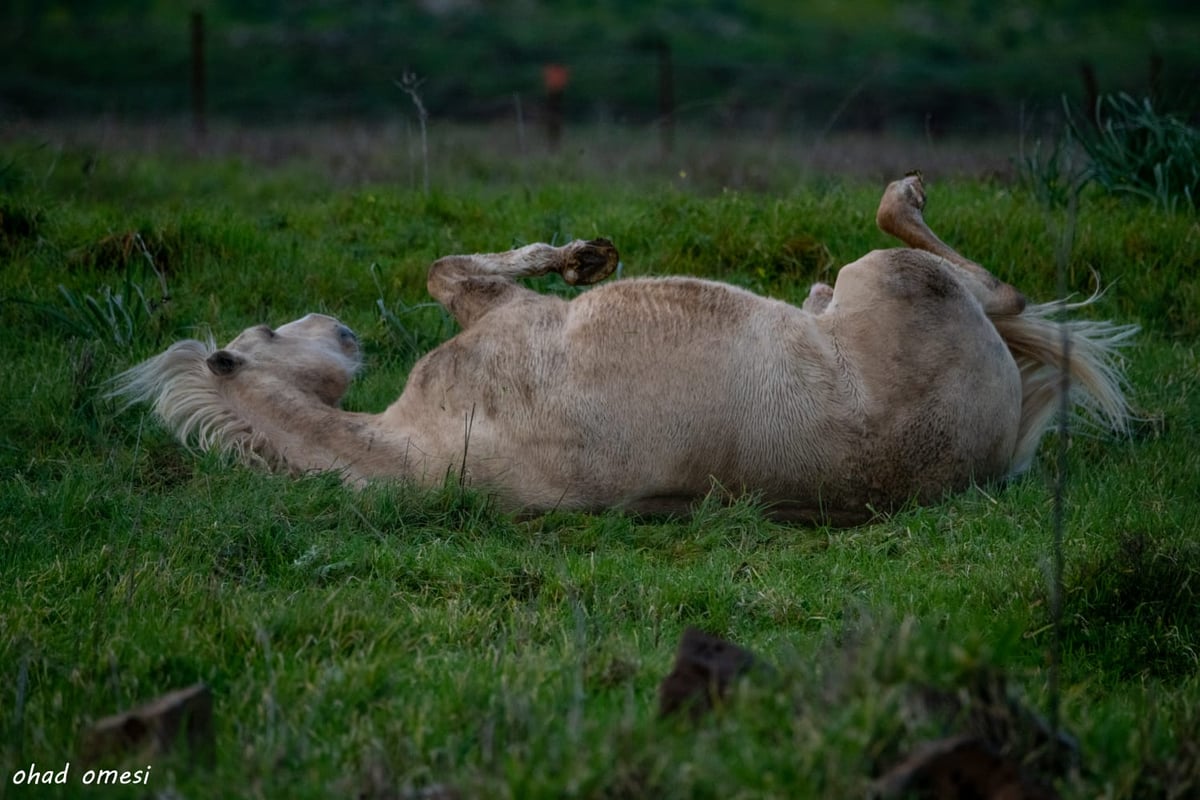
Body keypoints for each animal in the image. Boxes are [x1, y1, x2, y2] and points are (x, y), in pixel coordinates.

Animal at [112, 176, 1132, 525]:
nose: (338, 329)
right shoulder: (496, 312)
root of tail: (999, 446)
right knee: (994, 288)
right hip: (897, 276)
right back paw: (904, 198)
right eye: (266, 335)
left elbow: (446, 268)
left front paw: (585, 255)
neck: (420, 446)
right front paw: (584, 257)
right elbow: (450, 269)